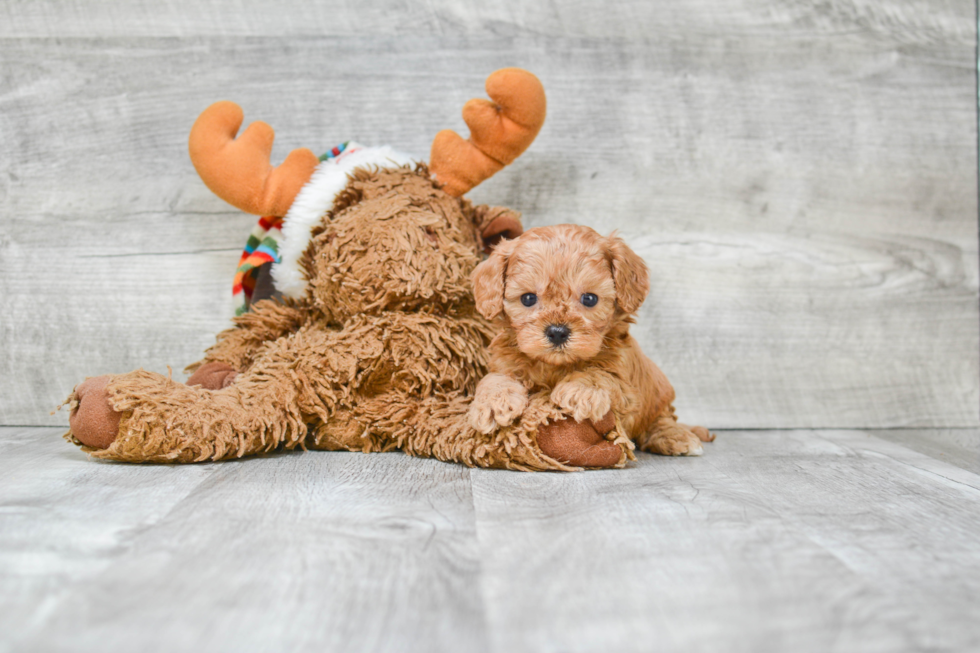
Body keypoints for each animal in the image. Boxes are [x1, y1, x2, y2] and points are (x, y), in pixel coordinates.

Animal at [468, 224, 712, 464]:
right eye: (528, 298)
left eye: (589, 298)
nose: (557, 332)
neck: (555, 366)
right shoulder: (505, 364)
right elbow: (493, 378)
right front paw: (494, 403)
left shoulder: (627, 386)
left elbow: (601, 374)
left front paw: (581, 390)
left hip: (658, 395)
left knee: (660, 420)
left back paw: (676, 436)